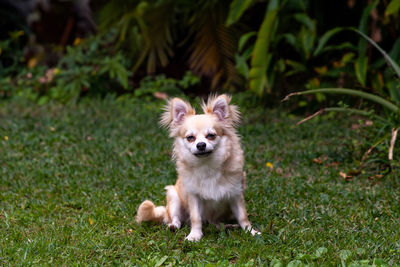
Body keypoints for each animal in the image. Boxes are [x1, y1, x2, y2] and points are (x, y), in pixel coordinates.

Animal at [134, 94, 260, 243]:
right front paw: (194, 235)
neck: (207, 165)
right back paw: (173, 226)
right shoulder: (194, 197)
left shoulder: (235, 194)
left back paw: (226, 226)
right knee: (175, 218)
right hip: (173, 196)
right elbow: (196, 218)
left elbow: (243, 216)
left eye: (211, 135)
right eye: (190, 138)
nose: (200, 145)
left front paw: (251, 231)